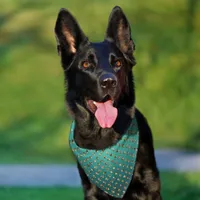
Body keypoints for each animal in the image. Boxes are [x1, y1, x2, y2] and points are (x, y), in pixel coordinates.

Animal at [54, 5, 162, 199]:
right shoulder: (91, 191)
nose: (109, 82)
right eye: (86, 65)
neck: (103, 135)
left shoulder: (149, 186)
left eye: (118, 63)